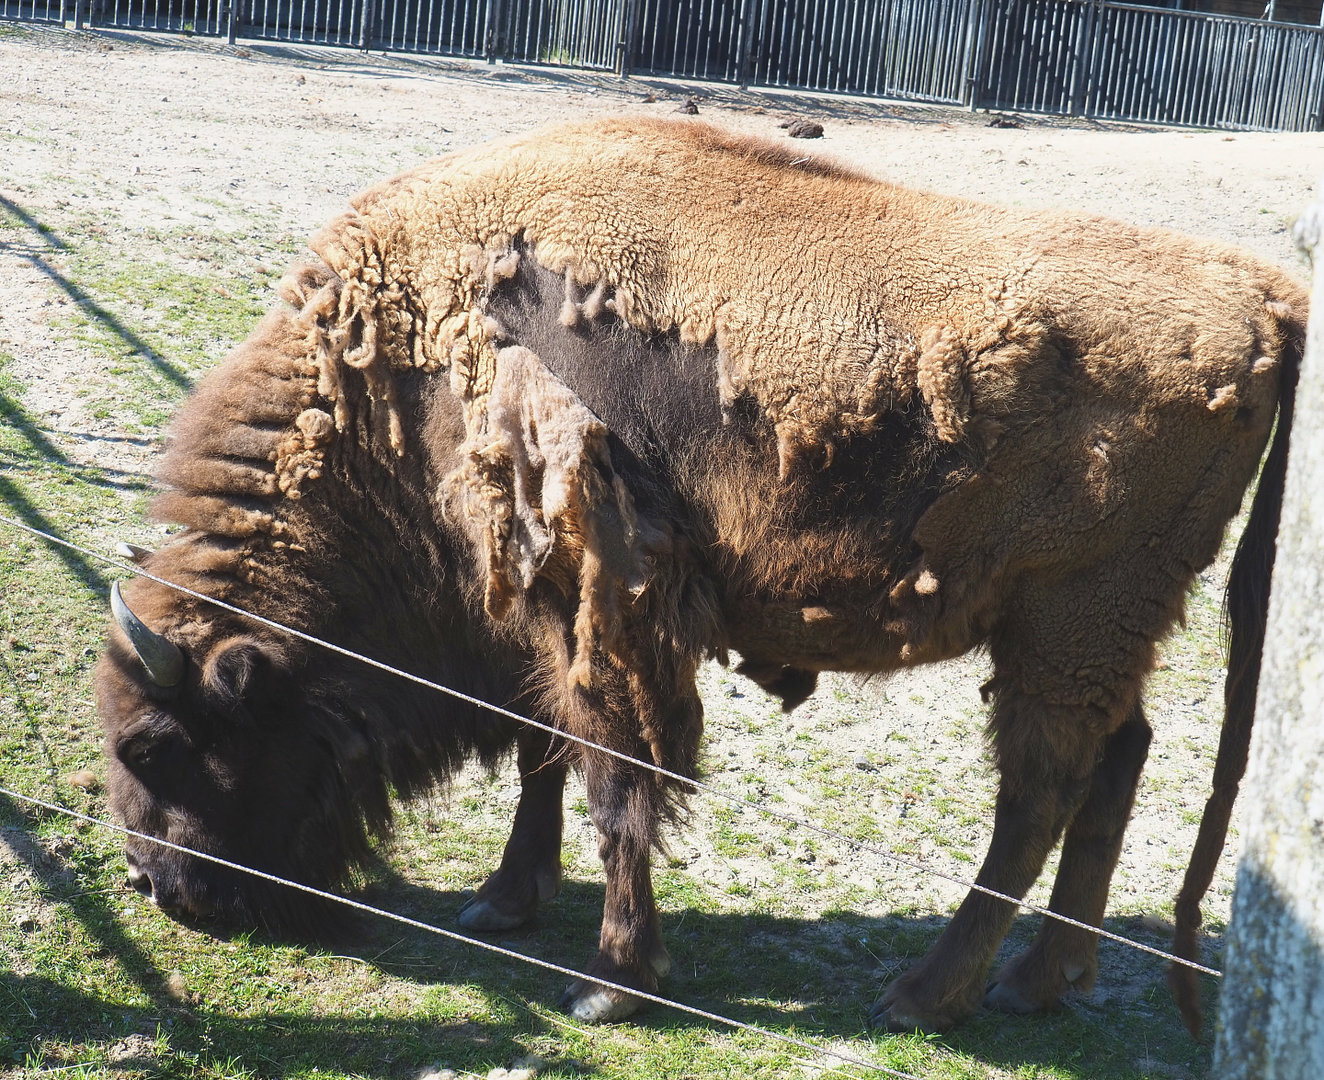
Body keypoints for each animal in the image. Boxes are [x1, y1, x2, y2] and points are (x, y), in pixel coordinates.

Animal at [97, 117, 1305, 1033]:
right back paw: (1039, 982)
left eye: (156, 746)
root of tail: (1269, 301)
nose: (158, 887)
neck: (401, 368)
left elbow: (614, 774)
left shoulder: (602, 610)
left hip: (1068, 619)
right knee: (1116, 761)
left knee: (1039, 791)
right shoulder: (542, 617)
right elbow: (547, 751)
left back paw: (927, 994)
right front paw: (505, 904)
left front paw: (609, 985)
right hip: (1102, 630)